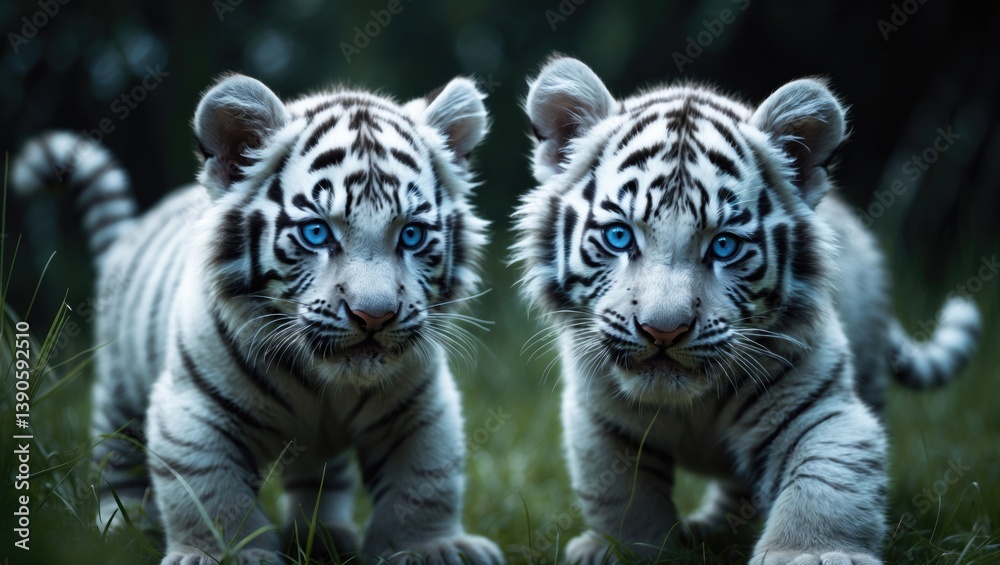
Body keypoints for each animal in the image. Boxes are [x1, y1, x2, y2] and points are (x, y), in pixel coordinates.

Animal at [13, 73, 504, 564]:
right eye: (316, 232)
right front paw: (224, 555)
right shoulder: (194, 408)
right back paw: (120, 528)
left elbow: (423, 484)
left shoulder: (420, 406)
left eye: (411, 235)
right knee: (118, 460)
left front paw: (434, 547)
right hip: (119, 392)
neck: (325, 386)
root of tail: (129, 235)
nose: (374, 316)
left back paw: (323, 536)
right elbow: (211, 491)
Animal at [513, 56, 981, 564]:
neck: (691, 406)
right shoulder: (601, 416)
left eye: (724, 246)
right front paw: (623, 551)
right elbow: (621, 495)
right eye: (619, 237)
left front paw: (811, 554)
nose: (663, 331)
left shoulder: (818, 407)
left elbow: (826, 484)